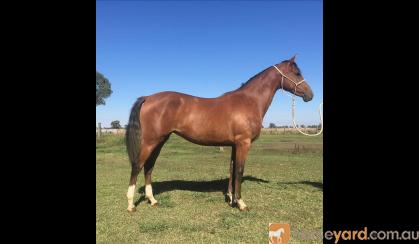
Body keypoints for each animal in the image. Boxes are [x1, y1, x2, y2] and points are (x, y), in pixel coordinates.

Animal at [126, 54, 314, 212]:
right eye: (297, 73)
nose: (310, 95)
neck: (249, 101)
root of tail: (148, 97)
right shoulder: (243, 143)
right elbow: (239, 170)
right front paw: (241, 203)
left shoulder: (234, 145)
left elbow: (231, 169)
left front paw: (231, 198)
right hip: (150, 141)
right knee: (137, 166)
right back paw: (130, 204)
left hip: (160, 140)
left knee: (149, 167)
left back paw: (152, 200)